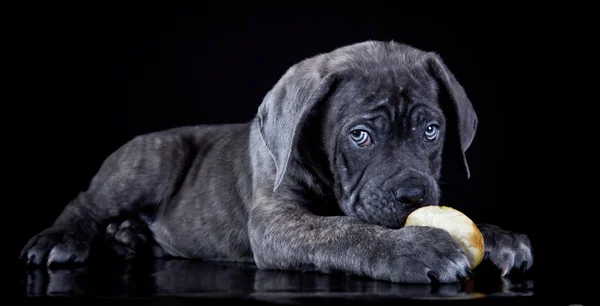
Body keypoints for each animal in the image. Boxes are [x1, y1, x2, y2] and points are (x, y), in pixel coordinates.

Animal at [21, 41, 532, 284]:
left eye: (431, 130)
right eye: (360, 136)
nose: (414, 195)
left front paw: (499, 236)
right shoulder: (275, 220)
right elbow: (342, 230)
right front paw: (414, 248)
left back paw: (129, 239)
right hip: (153, 159)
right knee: (86, 204)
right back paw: (60, 240)